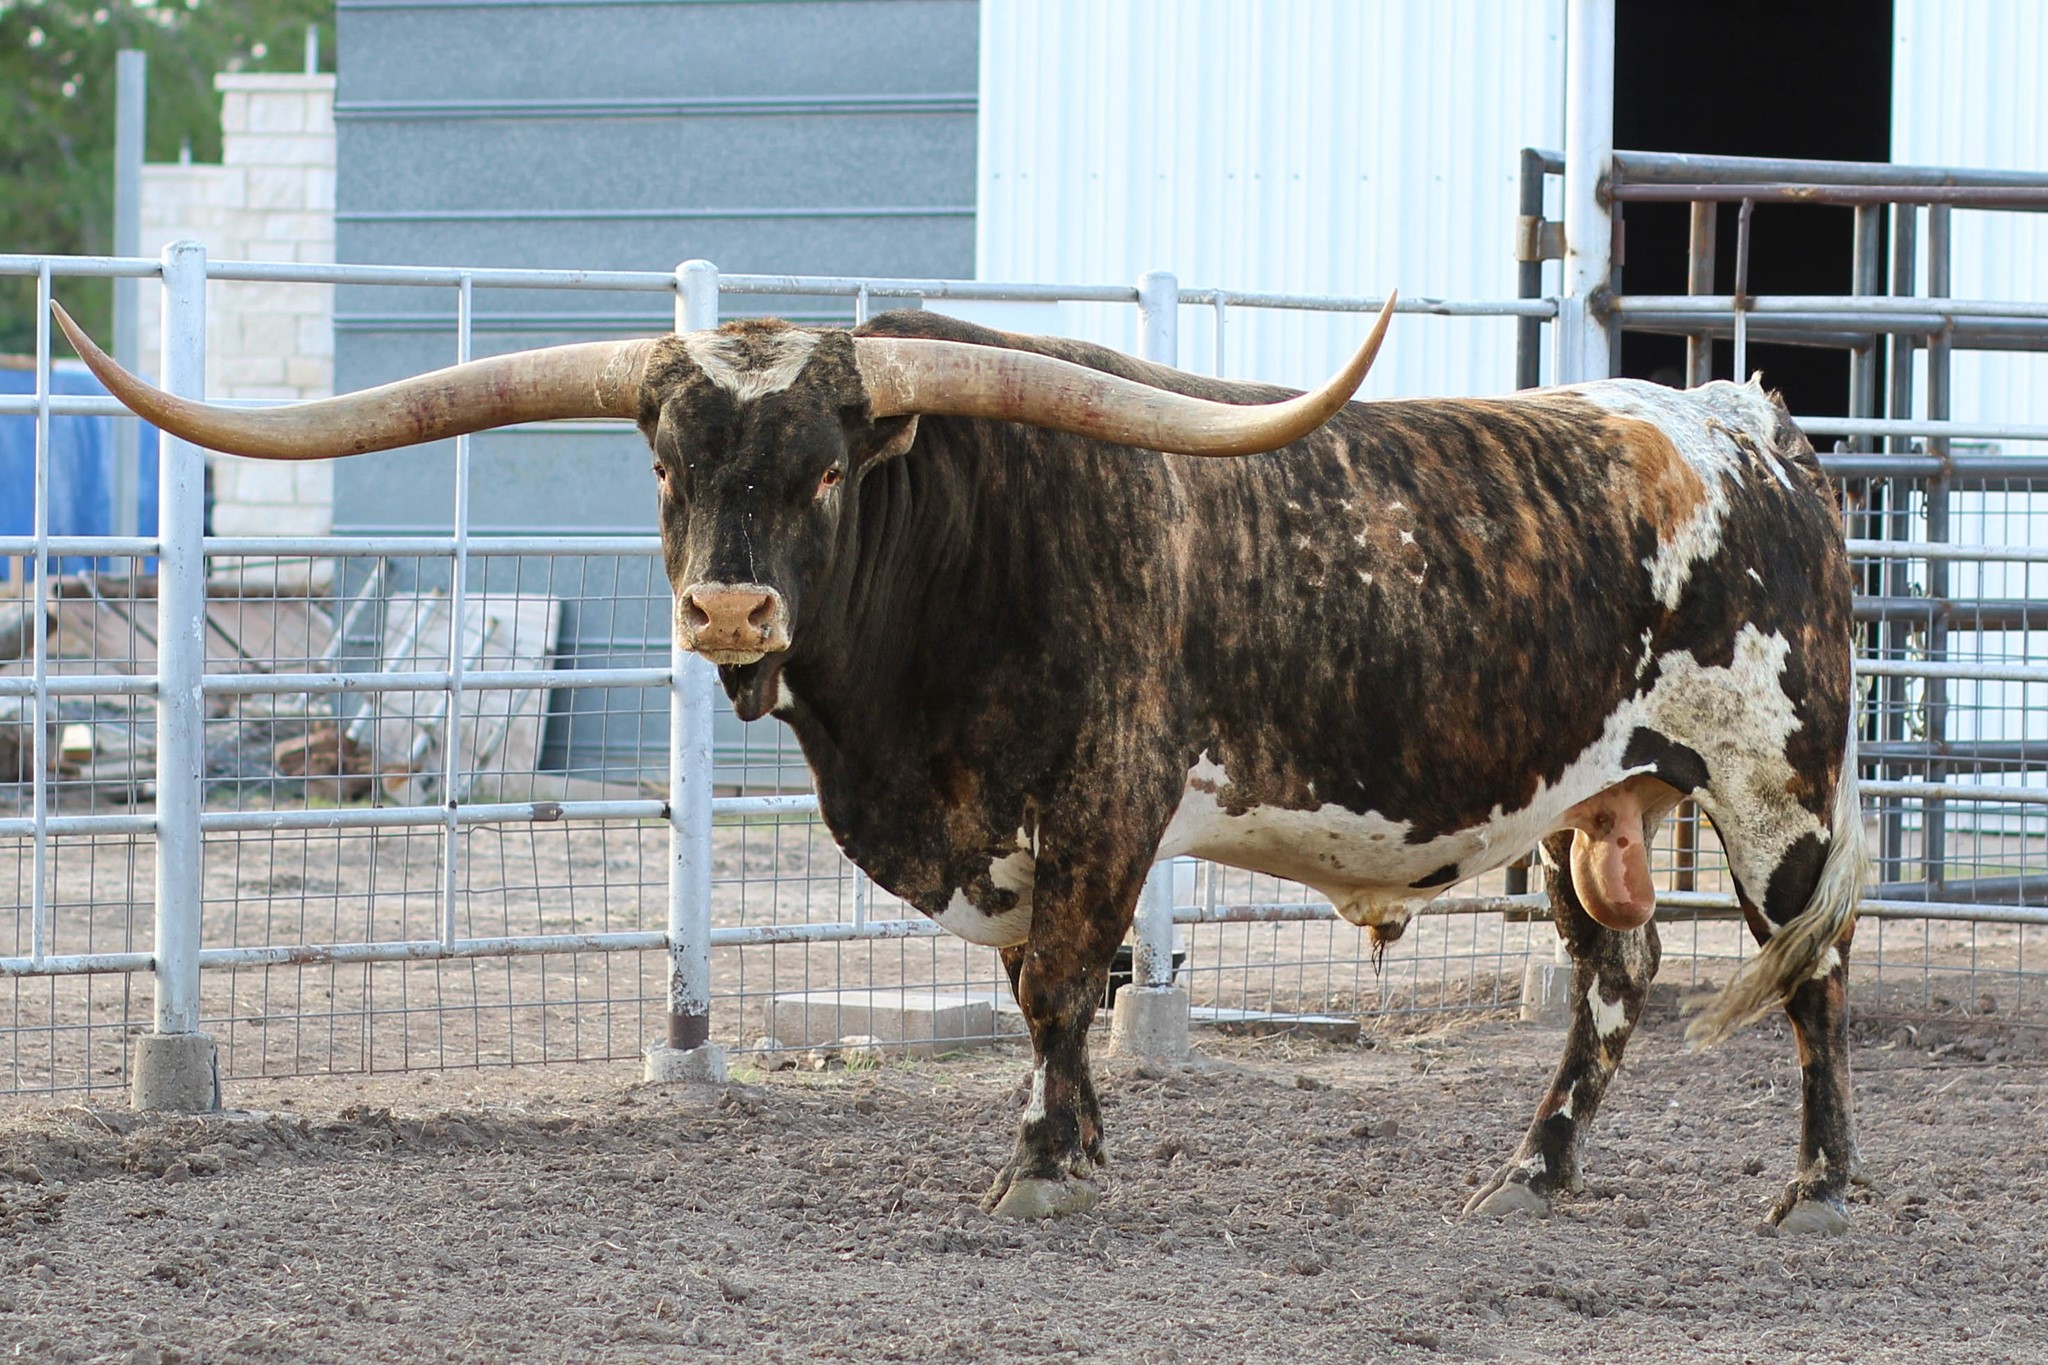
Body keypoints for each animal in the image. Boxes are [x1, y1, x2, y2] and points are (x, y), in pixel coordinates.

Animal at [55, 296, 1867, 1234]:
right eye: (669, 463)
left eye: (825, 466)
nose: (727, 606)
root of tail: (1751, 424)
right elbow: (1029, 993)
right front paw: (1070, 1141)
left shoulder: (1106, 800)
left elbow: (1064, 980)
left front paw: (1044, 1166)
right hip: (1596, 801)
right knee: (1618, 975)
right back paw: (1533, 1166)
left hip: (1775, 778)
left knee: (1814, 964)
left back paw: (1821, 1182)